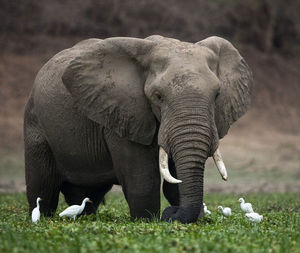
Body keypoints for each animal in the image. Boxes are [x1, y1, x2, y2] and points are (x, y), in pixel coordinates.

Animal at [24, 34, 252, 222]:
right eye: (158, 96)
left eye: (217, 95)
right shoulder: (122, 112)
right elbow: (142, 179)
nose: (170, 214)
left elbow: (173, 181)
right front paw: (147, 221)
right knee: (43, 188)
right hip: (35, 124)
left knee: (87, 195)